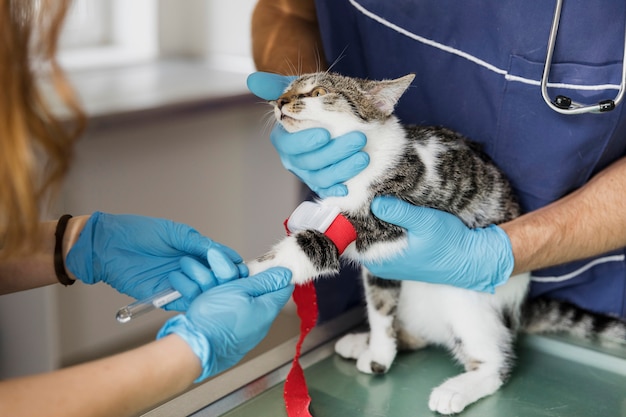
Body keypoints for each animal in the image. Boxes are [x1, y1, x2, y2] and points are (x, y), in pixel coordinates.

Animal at [245, 71, 624, 412]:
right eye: (287, 89)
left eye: (318, 91)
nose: (280, 102)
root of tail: (518, 311)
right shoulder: (382, 266)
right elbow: (380, 305)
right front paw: (380, 351)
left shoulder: (383, 221)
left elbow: (315, 246)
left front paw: (249, 274)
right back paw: (366, 342)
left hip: (465, 298)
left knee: (496, 363)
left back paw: (459, 388)